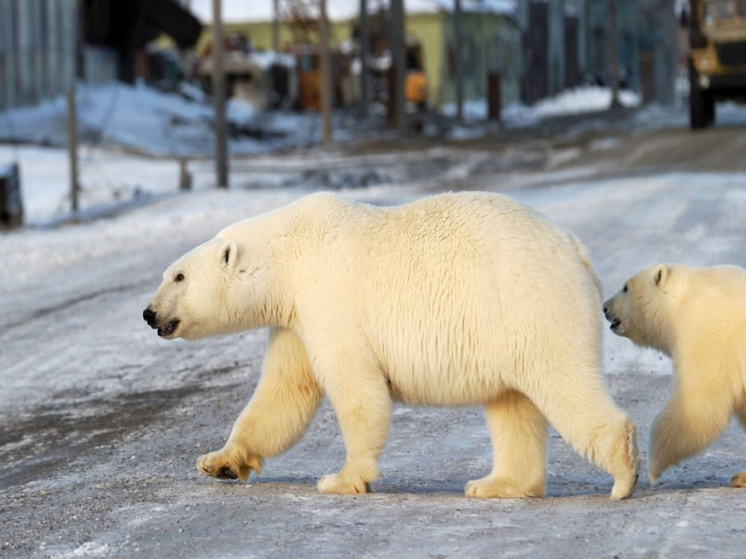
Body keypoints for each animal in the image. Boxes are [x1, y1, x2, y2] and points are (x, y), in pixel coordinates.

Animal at [147, 191, 640, 498]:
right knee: (512, 404)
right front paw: (217, 462)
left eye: (179, 276)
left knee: (562, 382)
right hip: (508, 327)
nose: (149, 314)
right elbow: (283, 392)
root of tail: (576, 249)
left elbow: (355, 387)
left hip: (531, 305)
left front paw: (341, 479)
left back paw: (622, 473)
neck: (289, 255)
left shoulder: (330, 297)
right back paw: (494, 484)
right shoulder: (296, 320)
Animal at [600, 264, 744, 488]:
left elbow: (699, 406)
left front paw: (653, 466)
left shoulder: (706, 335)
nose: (605, 307)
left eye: (625, 287)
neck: (682, 302)